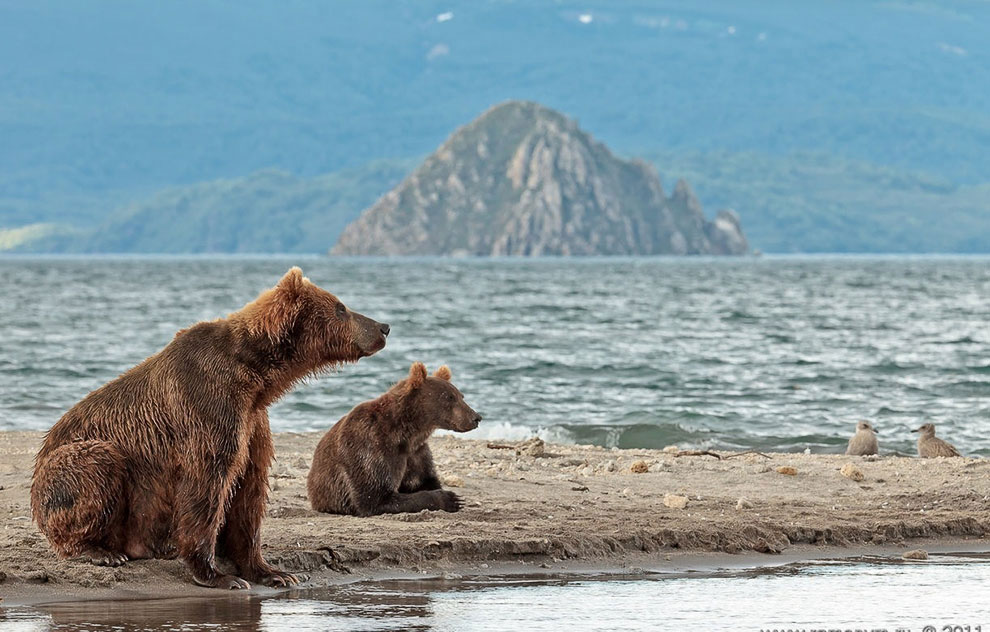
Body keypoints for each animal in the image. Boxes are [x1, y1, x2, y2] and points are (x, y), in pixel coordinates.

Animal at [32, 266, 388, 588]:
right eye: (340, 306)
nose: (383, 326)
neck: (256, 373)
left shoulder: (253, 421)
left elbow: (249, 490)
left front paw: (273, 572)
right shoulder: (208, 404)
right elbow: (207, 482)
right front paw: (218, 575)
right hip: (72, 463)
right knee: (93, 465)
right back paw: (98, 551)